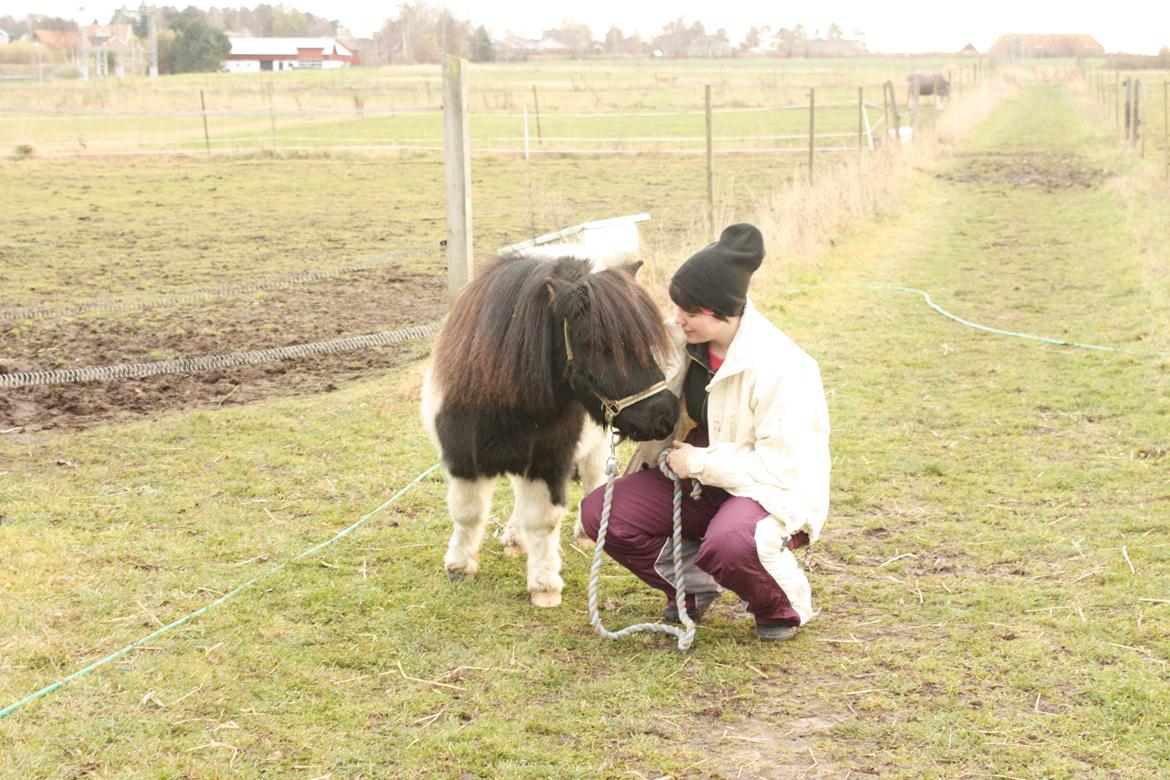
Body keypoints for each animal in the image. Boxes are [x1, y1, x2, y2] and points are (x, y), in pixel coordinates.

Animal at [421, 253, 678, 608]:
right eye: (601, 345)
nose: (666, 415)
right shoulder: (462, 460)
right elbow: (467, 512)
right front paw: (459, 566)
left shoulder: (548, 462)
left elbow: (543, 519)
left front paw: (544, 585)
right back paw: (515, 538)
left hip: (594, 449)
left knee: (594, 481)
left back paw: (583, 535)